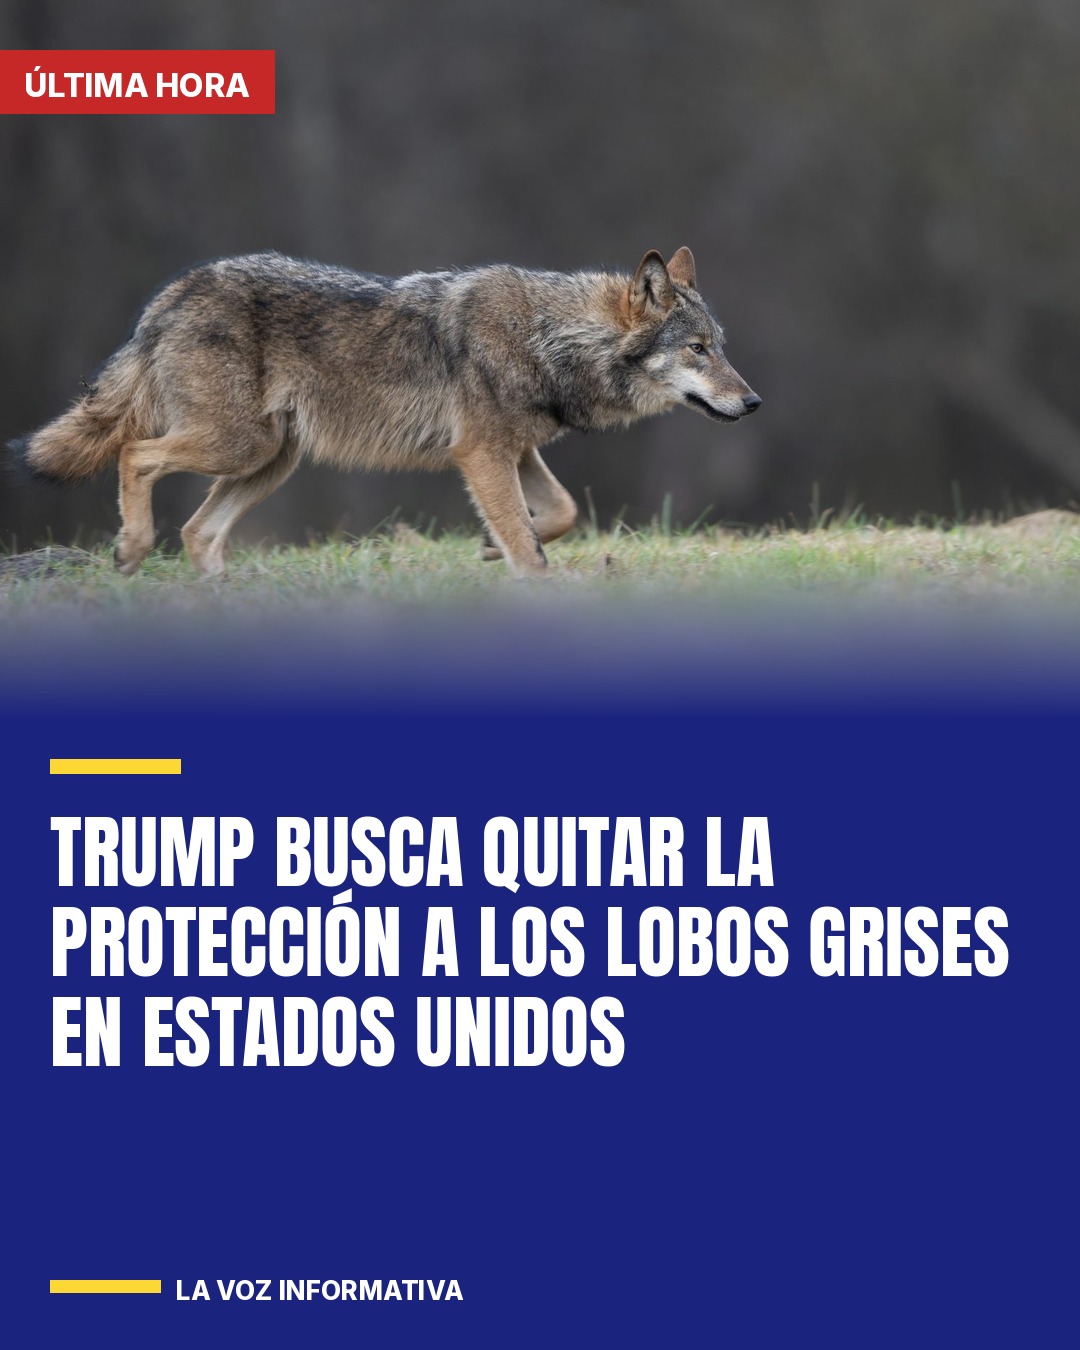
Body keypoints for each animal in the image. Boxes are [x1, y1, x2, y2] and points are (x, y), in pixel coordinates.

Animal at [16, 247, 760, 577]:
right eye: (697, 350)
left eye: (722, 346)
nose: (753, 402)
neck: (551, 337)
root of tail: (170, 296)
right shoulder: (482, 453)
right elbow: (532, 546)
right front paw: (526, 573)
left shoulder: (515, 451)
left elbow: (561, 512)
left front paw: (489, 545)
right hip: (239, 446)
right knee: (134, 455)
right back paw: (131, 548)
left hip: (270, 461)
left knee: (199, 531)